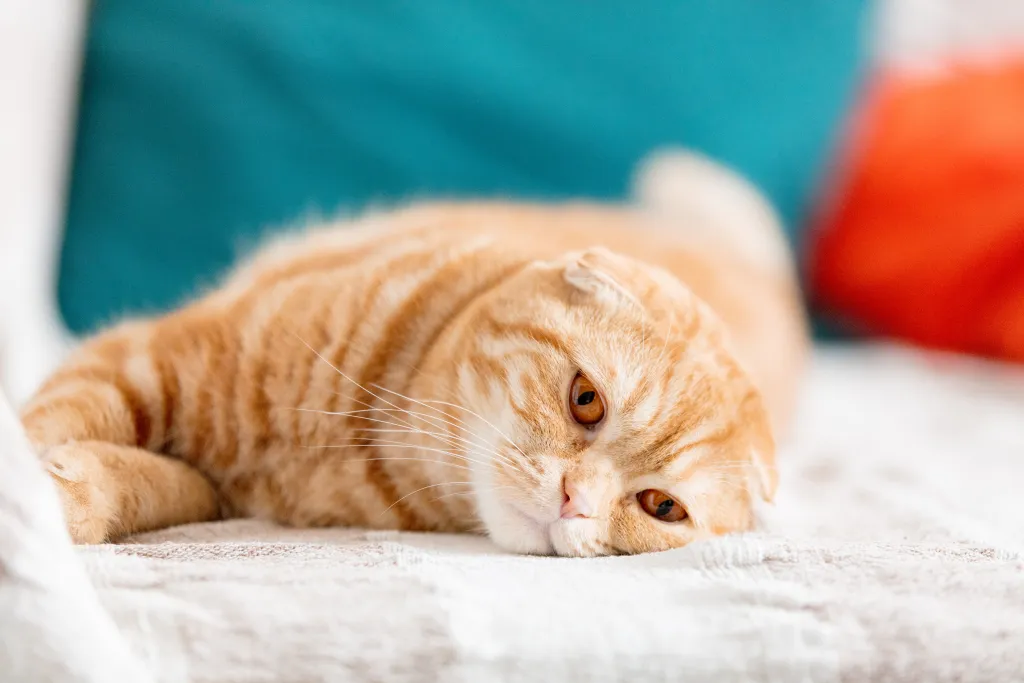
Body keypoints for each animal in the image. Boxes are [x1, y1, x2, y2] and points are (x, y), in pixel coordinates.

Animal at [19, 152, 806, 557]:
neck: (354, 443)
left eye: (659, 506)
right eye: (587, 400)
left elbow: (140, 487)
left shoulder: (215, 492)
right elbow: (47, 423)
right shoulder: (148, 360)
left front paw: (67, 494)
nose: (574, 500)